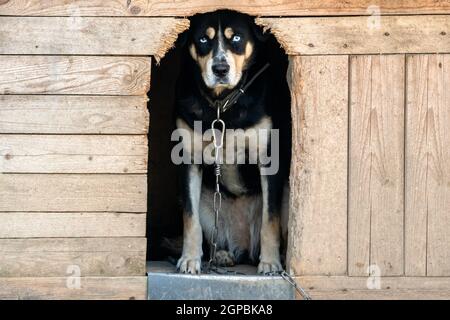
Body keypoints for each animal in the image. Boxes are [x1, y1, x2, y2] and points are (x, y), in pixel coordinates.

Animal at [174, 11, 290, 274]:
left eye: (236, 37)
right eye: (203, 40)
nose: (220, 68)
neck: (222, 103)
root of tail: (244, 246)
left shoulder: (269, 160)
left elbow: (271, 220)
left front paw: (270, 262)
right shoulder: (189, 160)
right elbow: (190, 219)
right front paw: (190, 259)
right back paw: (221, 255)